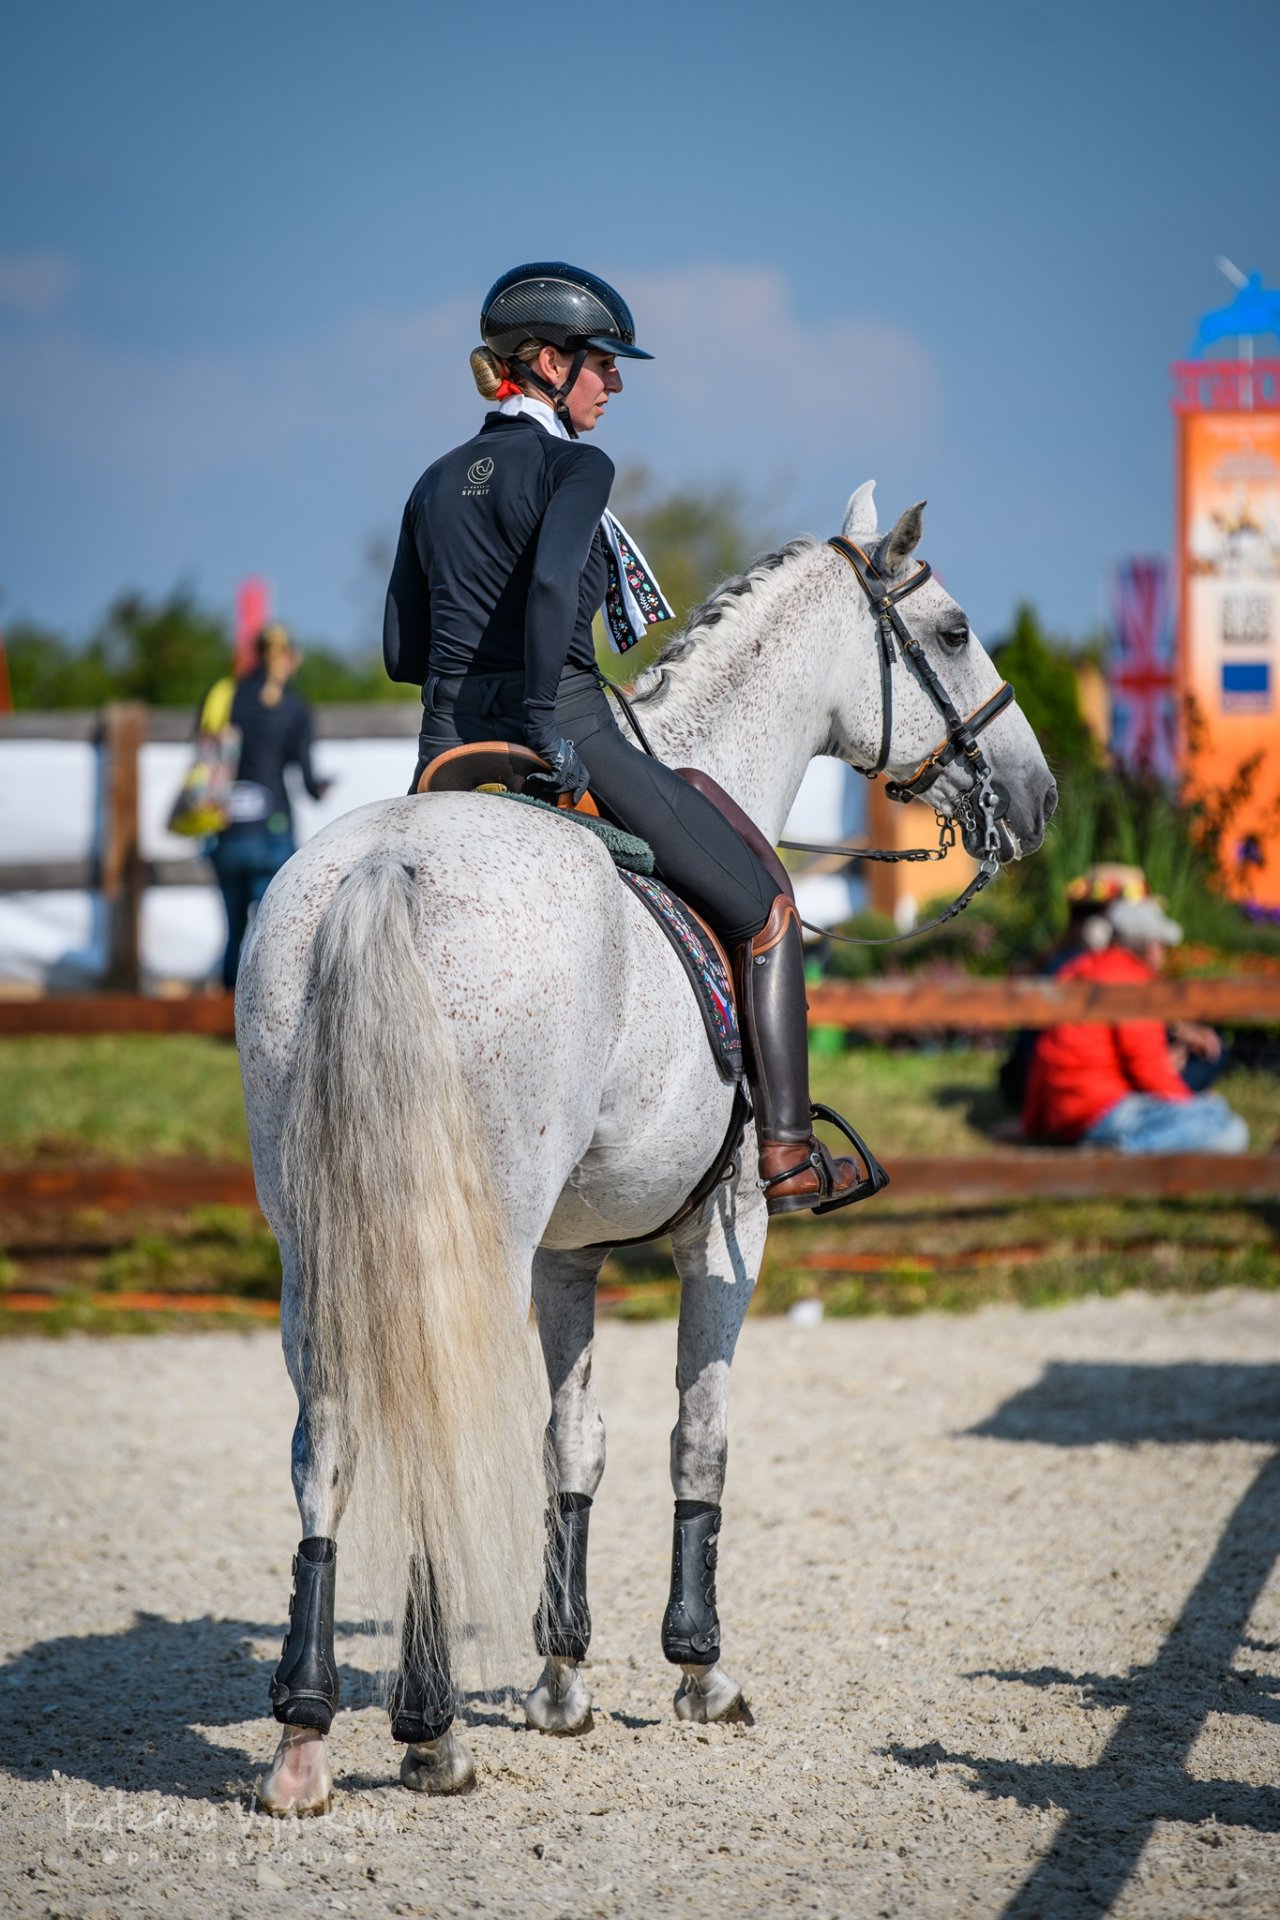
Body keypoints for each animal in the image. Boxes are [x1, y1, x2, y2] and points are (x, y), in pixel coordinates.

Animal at [235, 483, 1059, 1812]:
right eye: (950, 630)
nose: (1035, 802)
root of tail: (377, 868)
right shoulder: (726, 1234)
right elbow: (697, 1436)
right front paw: (697, 1667)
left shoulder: (566, 1256)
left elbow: (572, 1442)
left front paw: (561, 1677)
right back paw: (431, 1731)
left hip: (313, 1241)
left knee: (330, 1443)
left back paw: (305, 1737)